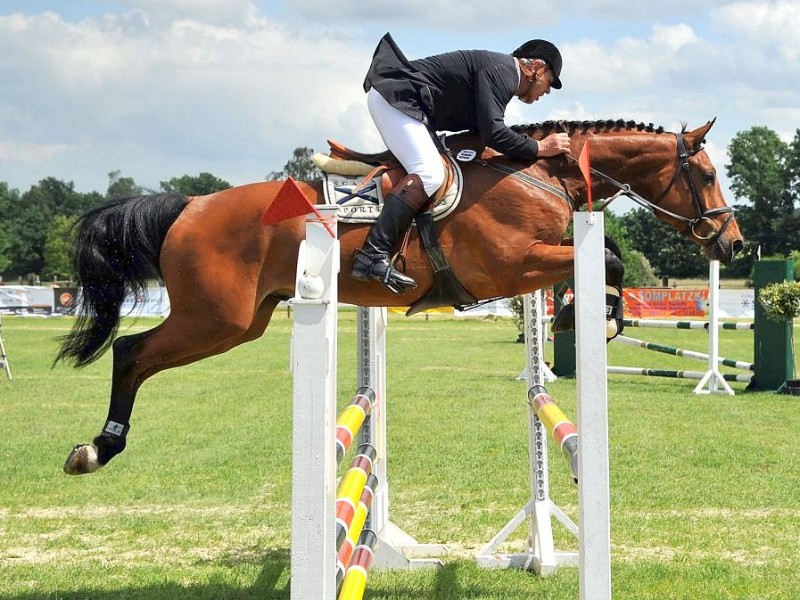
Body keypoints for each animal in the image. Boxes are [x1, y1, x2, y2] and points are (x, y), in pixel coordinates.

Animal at [59, 118, 740, 474]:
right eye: (707, 175)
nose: (731, 243)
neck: (540, 174)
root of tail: (190, 204)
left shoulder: (535, 262)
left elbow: (606, 259)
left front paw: (590, 316)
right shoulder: (512, 266)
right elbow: (606, 258)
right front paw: (590, 318)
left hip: (240, 321)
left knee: (137, 353)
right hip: (214, 319)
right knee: (130, 352)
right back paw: (98, 447)